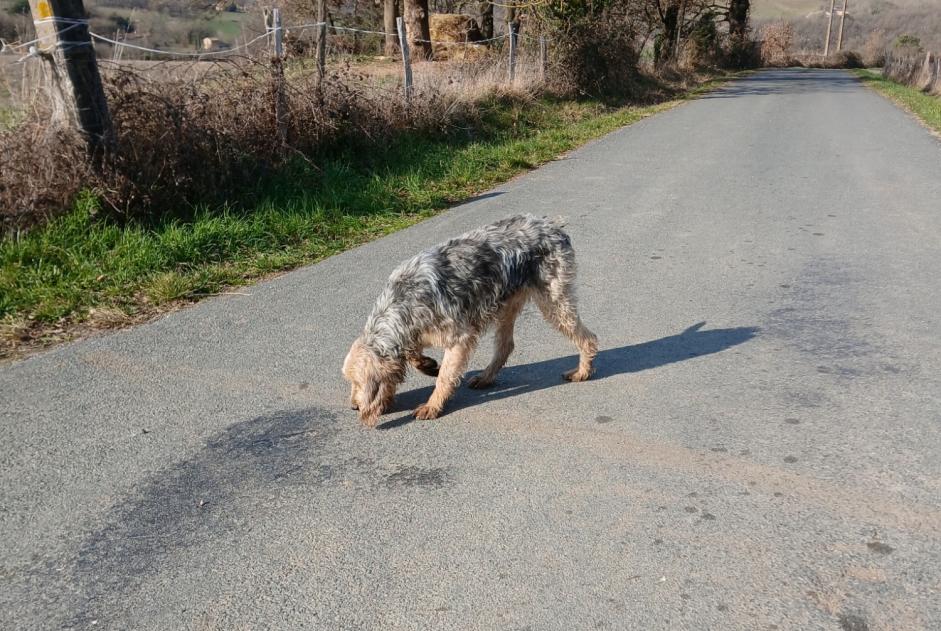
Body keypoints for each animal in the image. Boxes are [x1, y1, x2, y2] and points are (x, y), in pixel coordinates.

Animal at [342, 215, 600, 428]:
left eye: (357, 382)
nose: (353, 406)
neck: (405, 300)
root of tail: (552, 226)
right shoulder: (415, 335)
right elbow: (414, 355)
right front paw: (428, 365)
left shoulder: (459, 339)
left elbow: (445, 377)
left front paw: (433, 405)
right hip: (506, 306)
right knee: (506, 346)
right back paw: (486, 377)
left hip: (554, 304)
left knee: (588, 338)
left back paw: (582, 371)